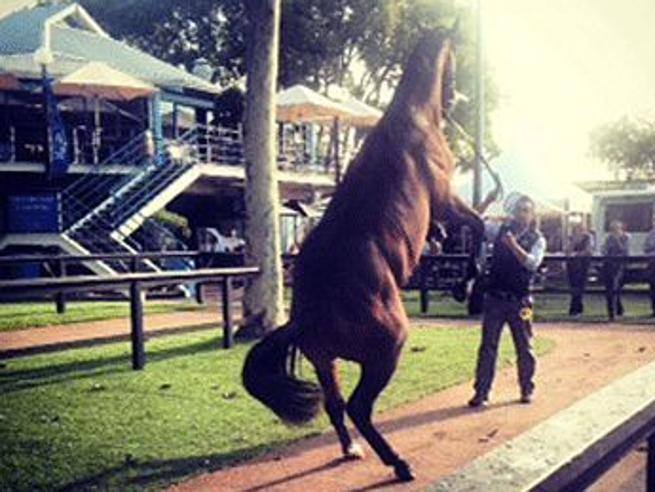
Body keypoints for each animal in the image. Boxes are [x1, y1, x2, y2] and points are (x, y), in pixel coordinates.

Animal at [243, 32, 484, 482]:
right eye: (455, 61)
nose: (453, 97)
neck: (414, 120)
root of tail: (307, 316)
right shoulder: (446, 199)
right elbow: (478, 227)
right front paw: (467, 284)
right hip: (386, 350)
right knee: (358, 407)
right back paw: (398, 464)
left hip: (325, 360)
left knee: (337, 405)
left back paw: (351, 449)